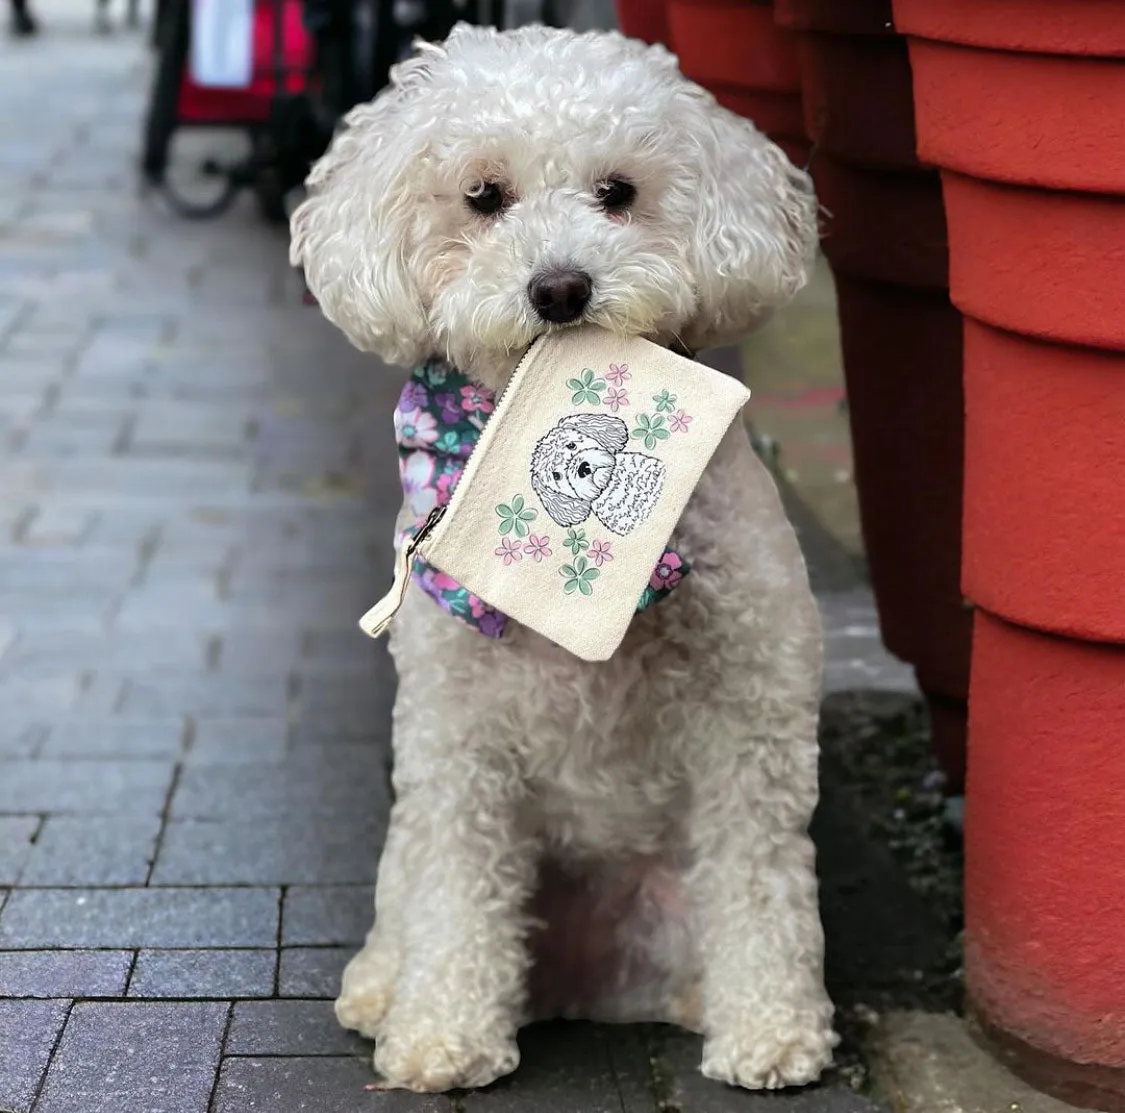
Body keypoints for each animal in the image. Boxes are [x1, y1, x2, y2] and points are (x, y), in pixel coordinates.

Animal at [290, 19, 837, 1093]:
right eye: (482, 196)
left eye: (617, 191)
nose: (559, 287)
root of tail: (596, 974)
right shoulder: (457, 737)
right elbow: (456, 887)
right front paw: (442, 1034)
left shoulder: (750, 715)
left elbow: (761, 878)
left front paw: (773, 1031)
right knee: (410, 890)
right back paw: (383, 988)